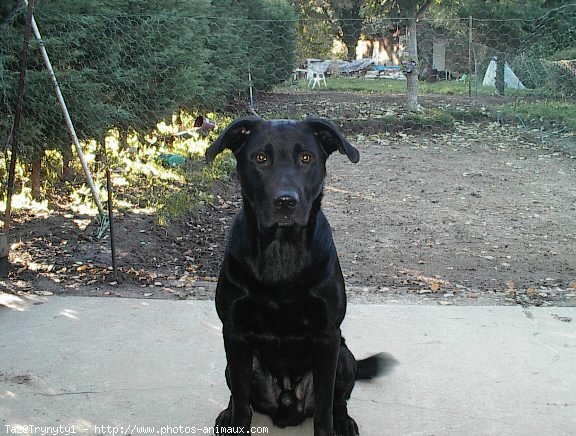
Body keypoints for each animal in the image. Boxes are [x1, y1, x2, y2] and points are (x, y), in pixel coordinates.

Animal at [205, 117, 390, 434]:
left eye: (306, 158)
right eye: (260, 158)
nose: (285, 201)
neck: (282, 249)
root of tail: (286, 406)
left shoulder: (327, 336)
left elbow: (325, 409)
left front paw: (331, 425)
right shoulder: (234, 333)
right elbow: (241, 403)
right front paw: (235, 419)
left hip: (344, 357)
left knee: (338, 400)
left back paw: (345, 421)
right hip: (236, 363)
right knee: (239, 396)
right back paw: (226, 414)